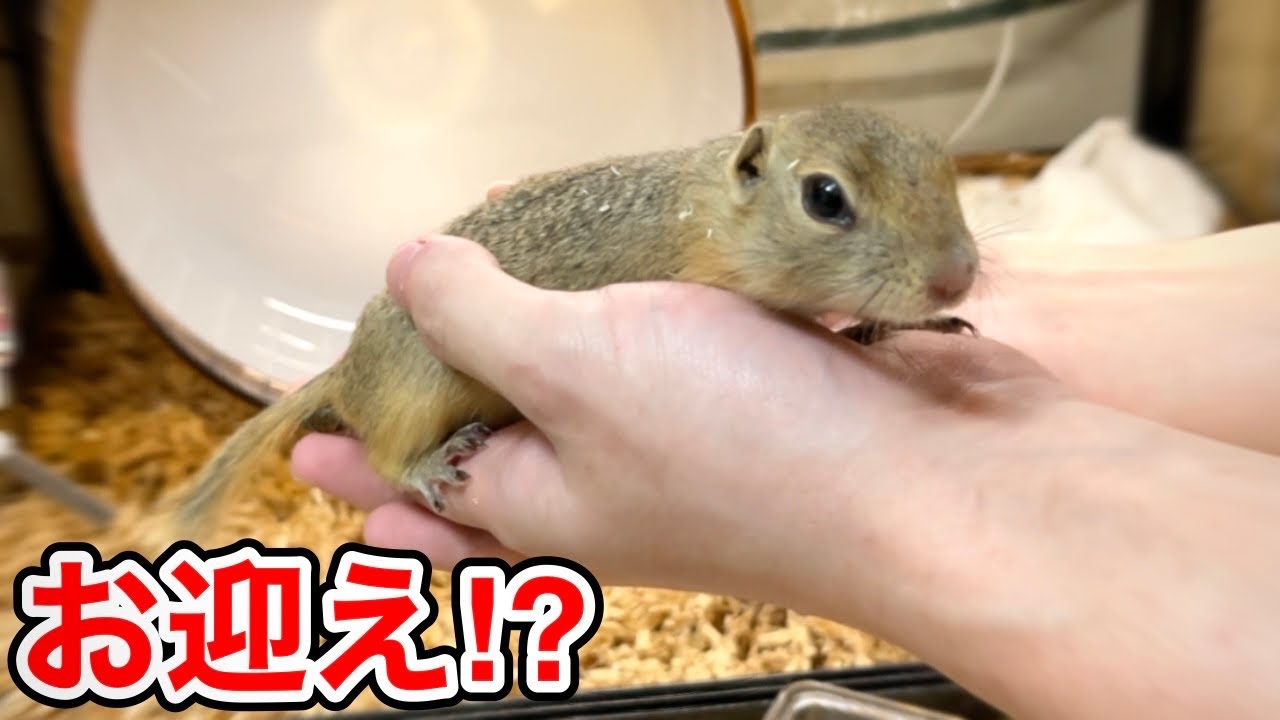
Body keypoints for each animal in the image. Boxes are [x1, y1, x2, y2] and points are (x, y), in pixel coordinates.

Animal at [174, 102, 980, 534]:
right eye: (824, 196)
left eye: (944, 165)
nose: (959, 276)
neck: (709, 212)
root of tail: (342, 374)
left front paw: (908, 328)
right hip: (413, 391)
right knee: (384, 458)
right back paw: (428, 463)